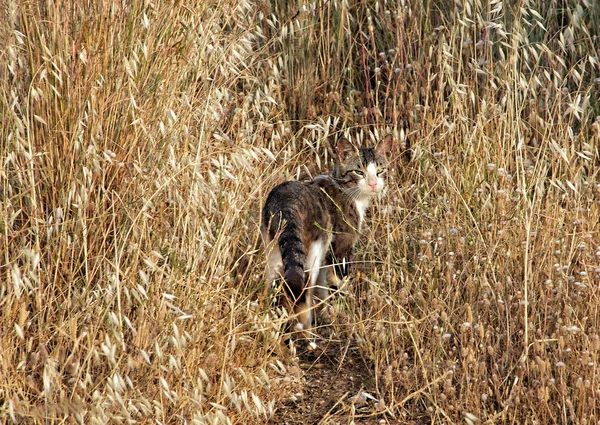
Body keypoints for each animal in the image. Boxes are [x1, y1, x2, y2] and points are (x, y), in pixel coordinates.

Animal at [262, 134, 394, 336]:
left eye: (380, 170)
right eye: (359, 171)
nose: (373, 184)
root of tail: (285, 203)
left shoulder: (327, 257)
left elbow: (323, 288)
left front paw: (326, 315)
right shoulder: (341, 247)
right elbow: (336, 285)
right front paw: (342, 317)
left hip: (274, 251)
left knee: (274, 286)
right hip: (314, 251)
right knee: (303, 291)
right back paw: (307, 335)